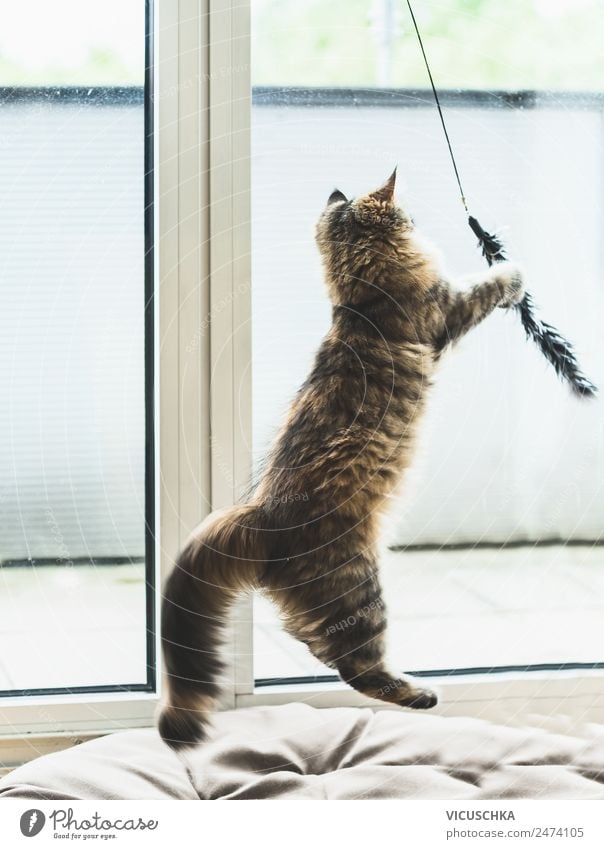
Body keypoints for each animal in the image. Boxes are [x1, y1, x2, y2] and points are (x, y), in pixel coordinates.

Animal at [157, 167, 524, 748]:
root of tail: (261, 514)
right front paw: (514, 273)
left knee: (320, 648)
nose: (415, 215)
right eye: (407, 214)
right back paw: (420, 694)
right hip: (358, 588)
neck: (358, 297)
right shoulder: (446, 309)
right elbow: (489, 286)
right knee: (355, 665)